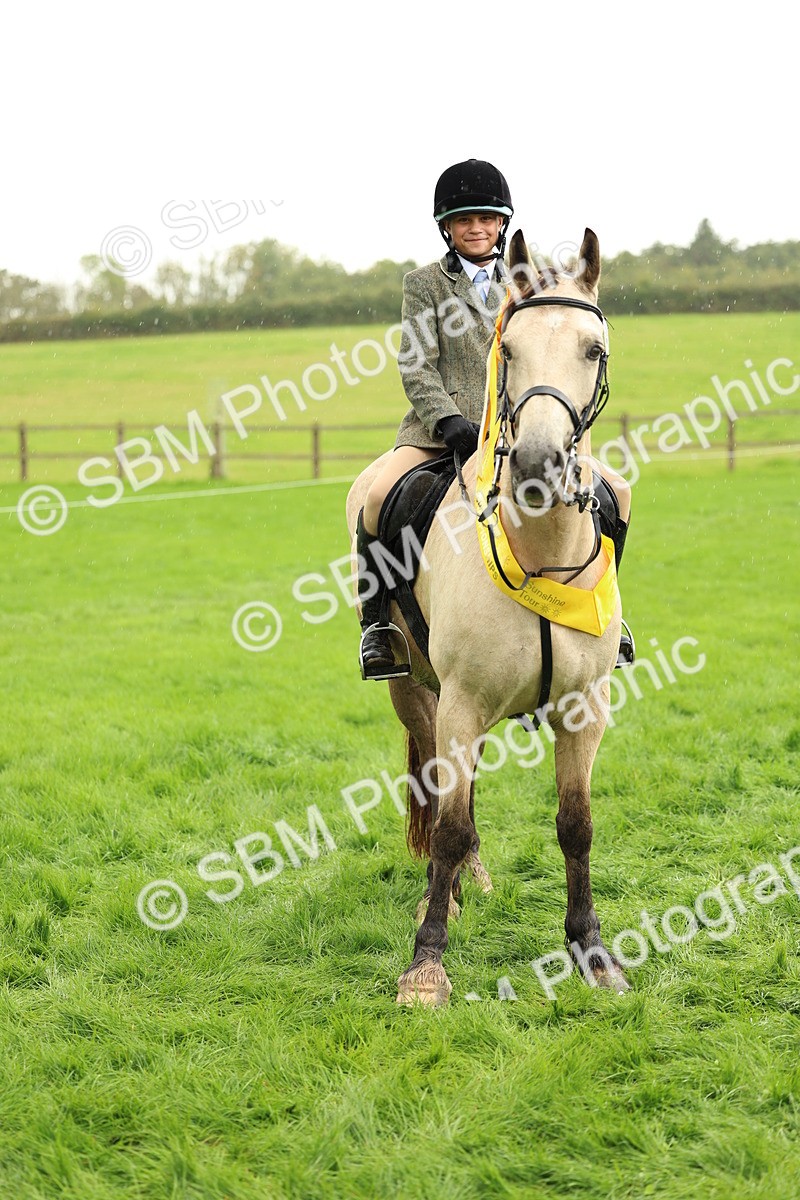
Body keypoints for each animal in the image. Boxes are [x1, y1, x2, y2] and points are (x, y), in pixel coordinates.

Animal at [345, 228, 631, 1006]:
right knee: (441, 797)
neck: (539, 554)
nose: (537, 464)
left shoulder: (584, 709)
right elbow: (445, 827)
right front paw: (426, 965)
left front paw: (592, 951)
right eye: (512, 350)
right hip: (417, 693)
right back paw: (445, 891)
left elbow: (576, 824)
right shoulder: (463, 705)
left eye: (593, 349)